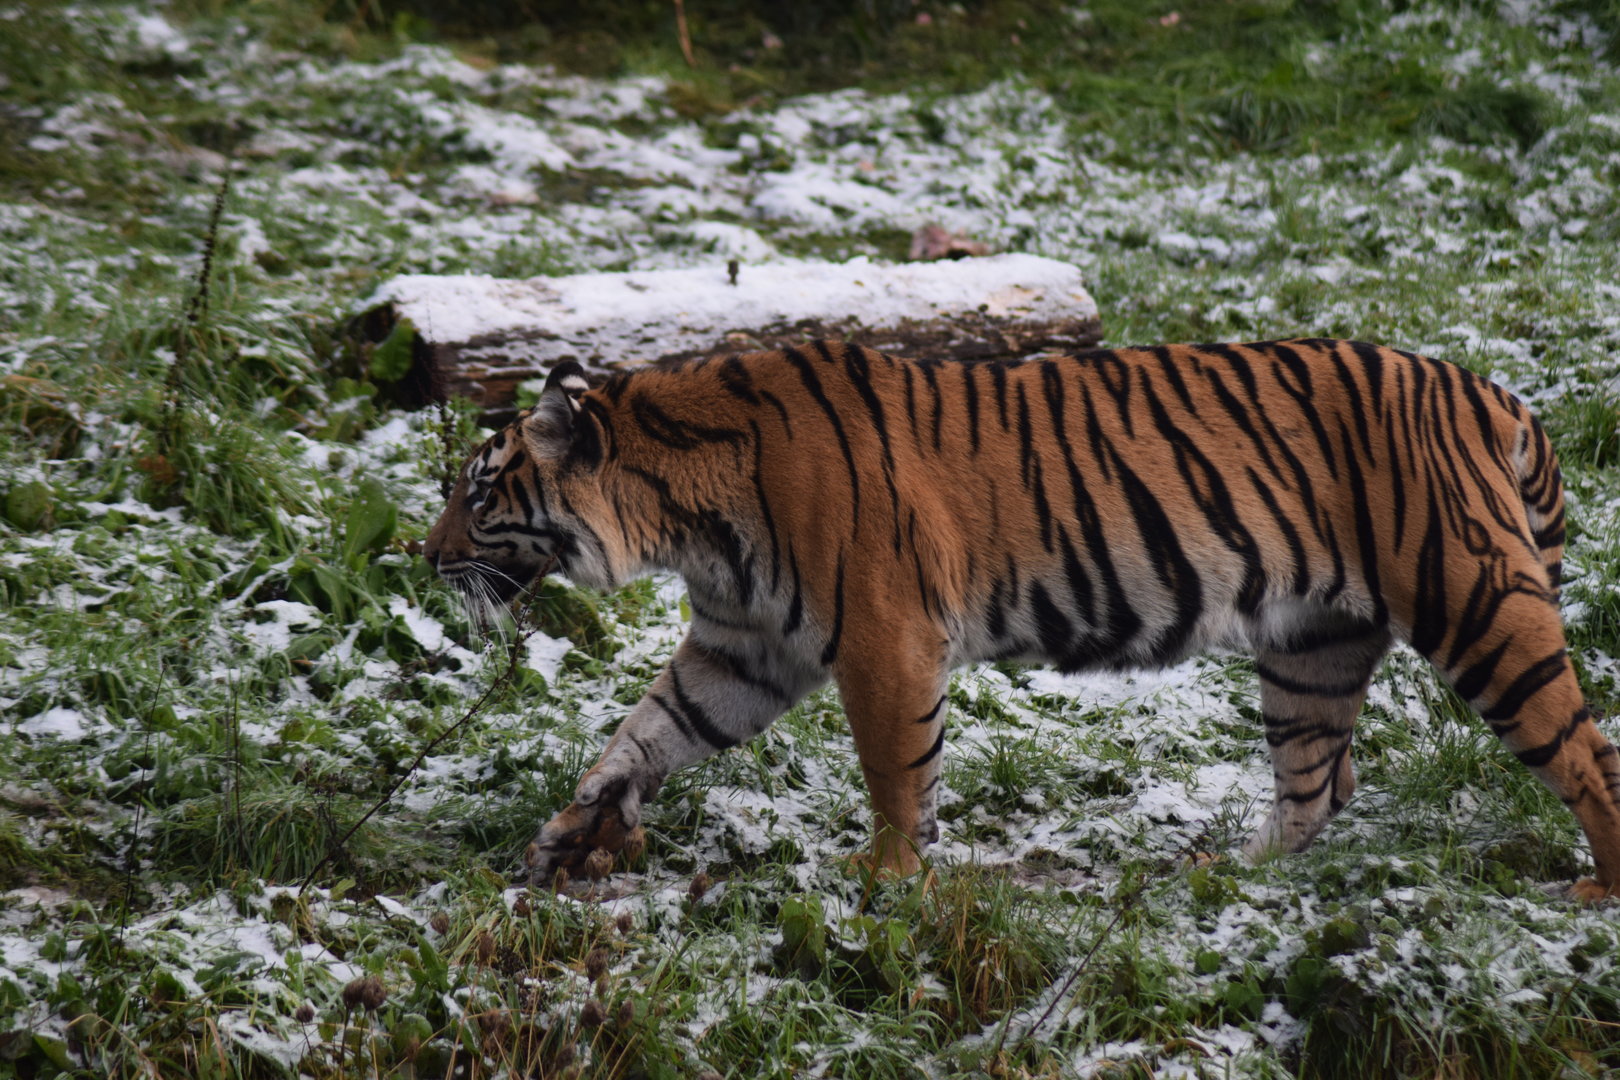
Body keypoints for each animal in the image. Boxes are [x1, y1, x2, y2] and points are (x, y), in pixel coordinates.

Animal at [421, 338, 1620, 900]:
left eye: (478, 496)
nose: (423, 559)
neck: (684, 515)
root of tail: (1495, 392)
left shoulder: (884, 638)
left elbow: (896, 769)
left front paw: (887, 878)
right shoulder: (740, 648)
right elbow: (649, 728)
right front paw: (574, 828)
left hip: (1477, 604)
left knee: (1586, 751)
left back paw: (1597, 885)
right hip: (1310, 648)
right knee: (1317, 785)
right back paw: (1224, 874)